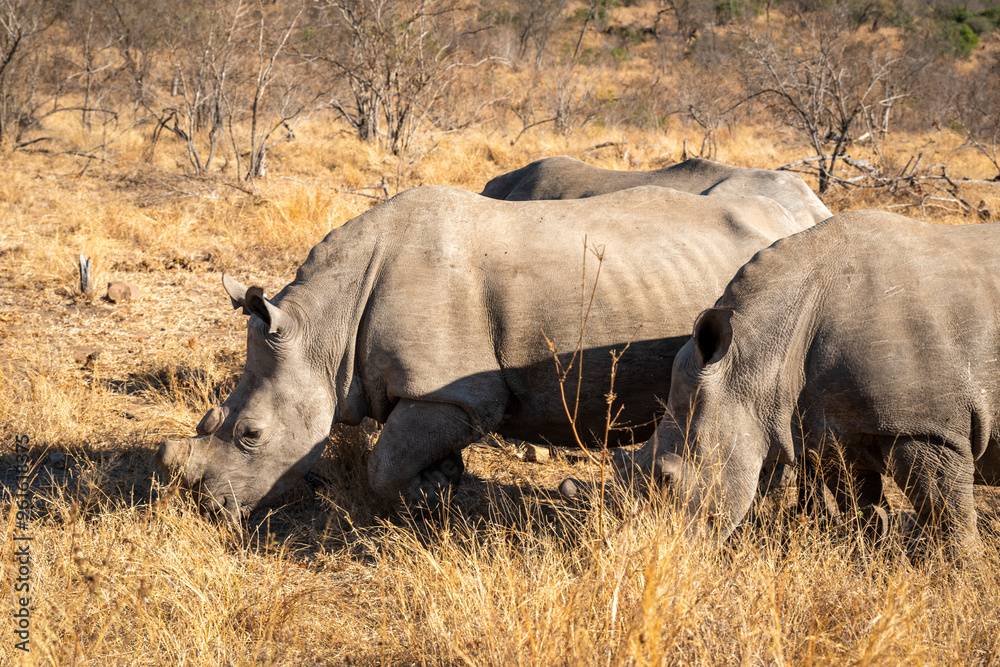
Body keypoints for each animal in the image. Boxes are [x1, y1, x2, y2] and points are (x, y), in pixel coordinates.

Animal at [154, 185, 812, 520]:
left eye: (252, 436)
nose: (209, 507)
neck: (323, 330)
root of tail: (799, 212)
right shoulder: (434, 395)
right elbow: (399, 454)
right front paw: (445, 480)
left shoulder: (454, 394)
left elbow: (383, 464)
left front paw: (432, 495)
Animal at [620, 211, 1000, 552]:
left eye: (666, 479)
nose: (654, 553)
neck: (755, 358)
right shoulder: (837, 431)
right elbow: (863, 511)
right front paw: (870, 563)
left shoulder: (926, 428)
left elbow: (948, 519)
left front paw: (960, 576)